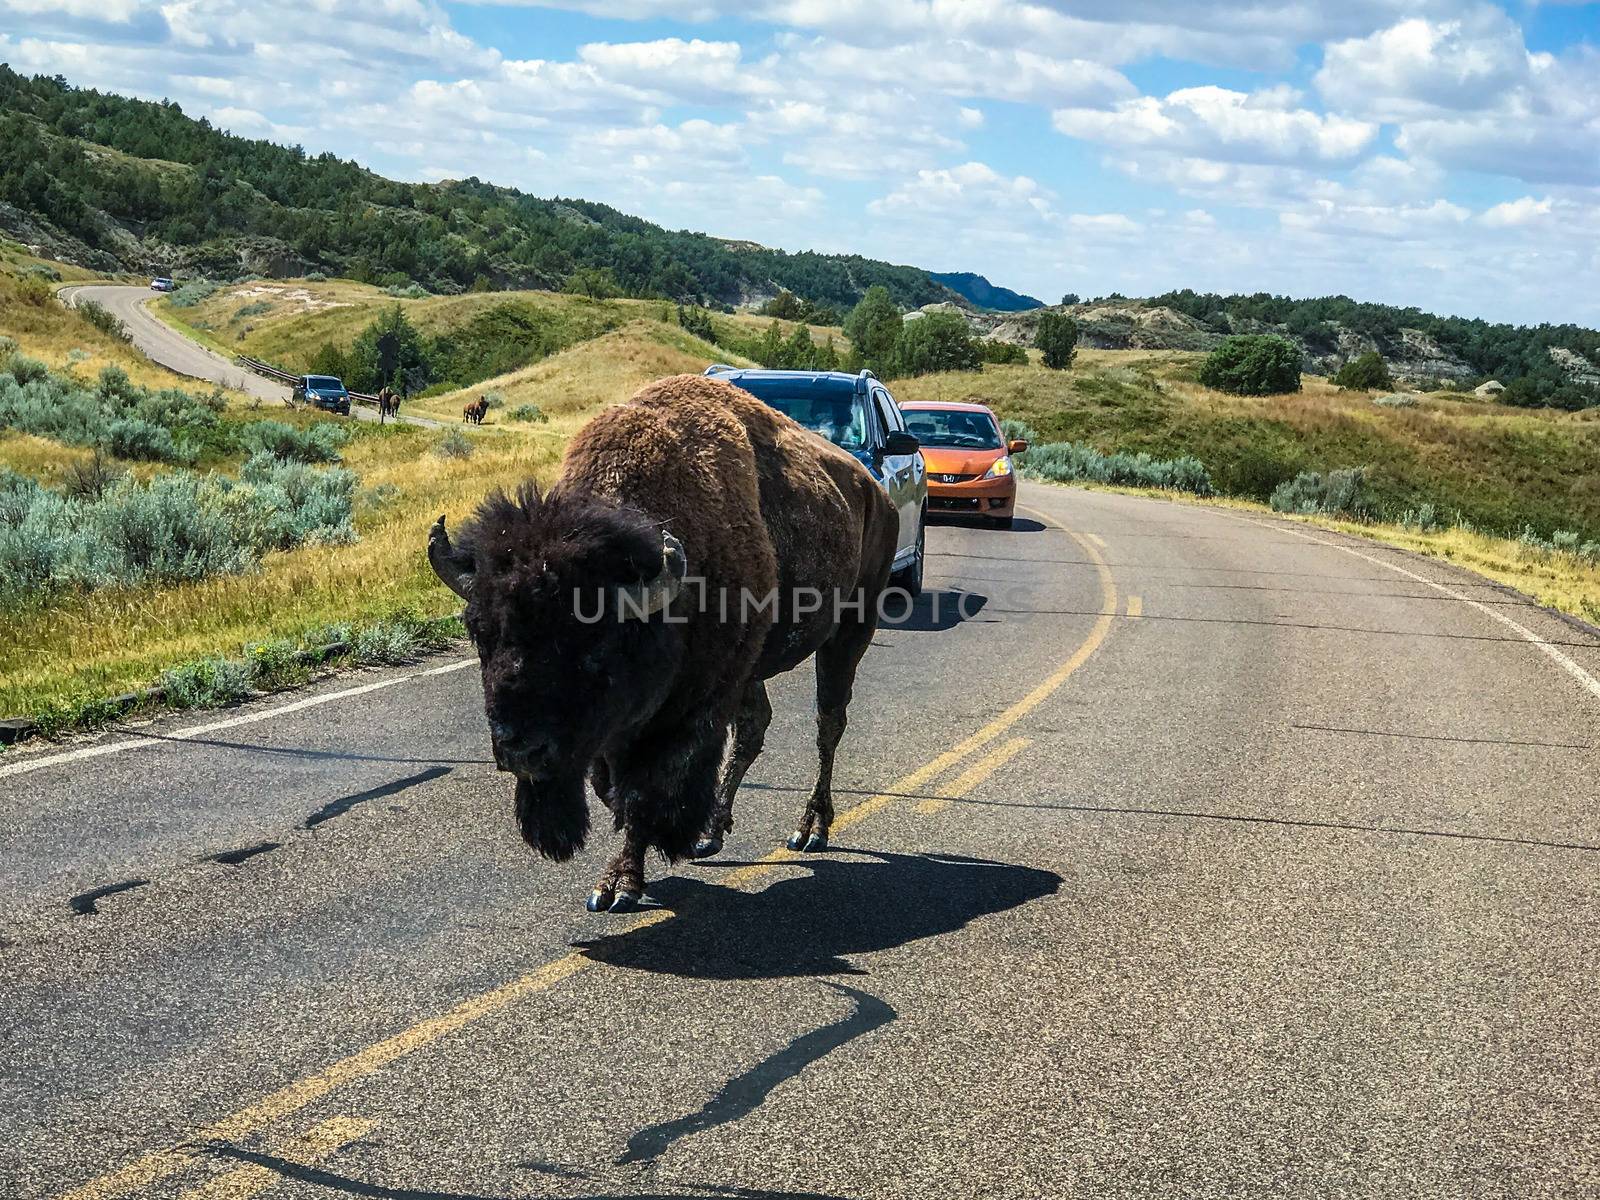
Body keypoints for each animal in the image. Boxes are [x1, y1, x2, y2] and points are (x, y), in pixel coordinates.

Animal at [425, 374, 902, 908]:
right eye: (480, 632)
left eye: (592, 645)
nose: (518, 749)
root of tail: (874, 493)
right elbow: (614, 786)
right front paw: (627, 869)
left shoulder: (687, 711)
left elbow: (646, 791)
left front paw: (620, 885)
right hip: (754, 668)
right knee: (755, 728)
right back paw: (711, 833)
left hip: (849, 632)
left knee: (828, 724)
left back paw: (810, 829)